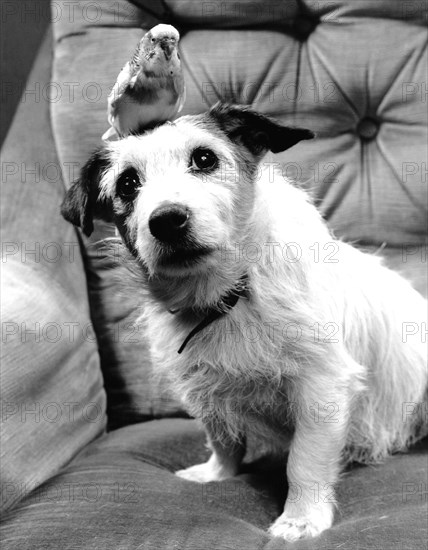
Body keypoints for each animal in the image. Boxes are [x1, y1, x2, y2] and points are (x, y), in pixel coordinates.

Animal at [61, 104, 428, 544]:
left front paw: (300, 518)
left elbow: (304, 460)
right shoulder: (205, 385)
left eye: (204, 158)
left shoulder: (322, 385)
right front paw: (218, 474)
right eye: (128, 183)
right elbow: (221, 438)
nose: (166, 220)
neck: (229, 297)